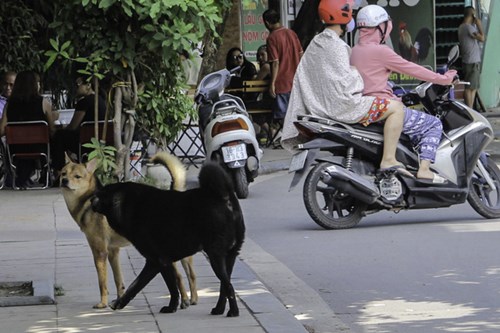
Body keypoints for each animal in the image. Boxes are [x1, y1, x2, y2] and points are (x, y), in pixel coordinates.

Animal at [60, 152, 197, 308]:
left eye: (77, 176)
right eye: (63, 173)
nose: (64, 180)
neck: (87, 201)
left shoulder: (100, 252)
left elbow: (102, 282)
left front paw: (102, 303)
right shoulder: (113, 252)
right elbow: (118, 279)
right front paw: (119, 300)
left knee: (179, 277)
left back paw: (184, 301)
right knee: (191, 275)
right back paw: (192, 299)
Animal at [91, 161, 246, 316]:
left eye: (100, 195)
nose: (91, 199)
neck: (127, 203)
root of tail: (224, 196)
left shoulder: (158, 261)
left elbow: (167, 287)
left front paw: (171, 307)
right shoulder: (161, 262)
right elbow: (139, 284)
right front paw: (121, 303)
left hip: (215, 256)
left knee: (228, 286)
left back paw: (233, 312)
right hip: (229, 256)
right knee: (224, 286)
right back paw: (219, 309)